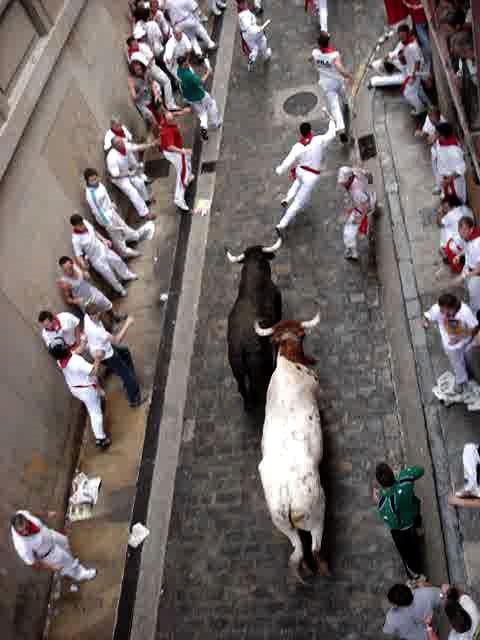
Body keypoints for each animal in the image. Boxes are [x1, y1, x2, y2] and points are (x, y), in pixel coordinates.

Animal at [253, 316, 328, 580]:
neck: (288, 363)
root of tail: (286, 500)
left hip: (283, 525)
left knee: (298, 553)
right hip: (317, 515)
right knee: (315, 550)